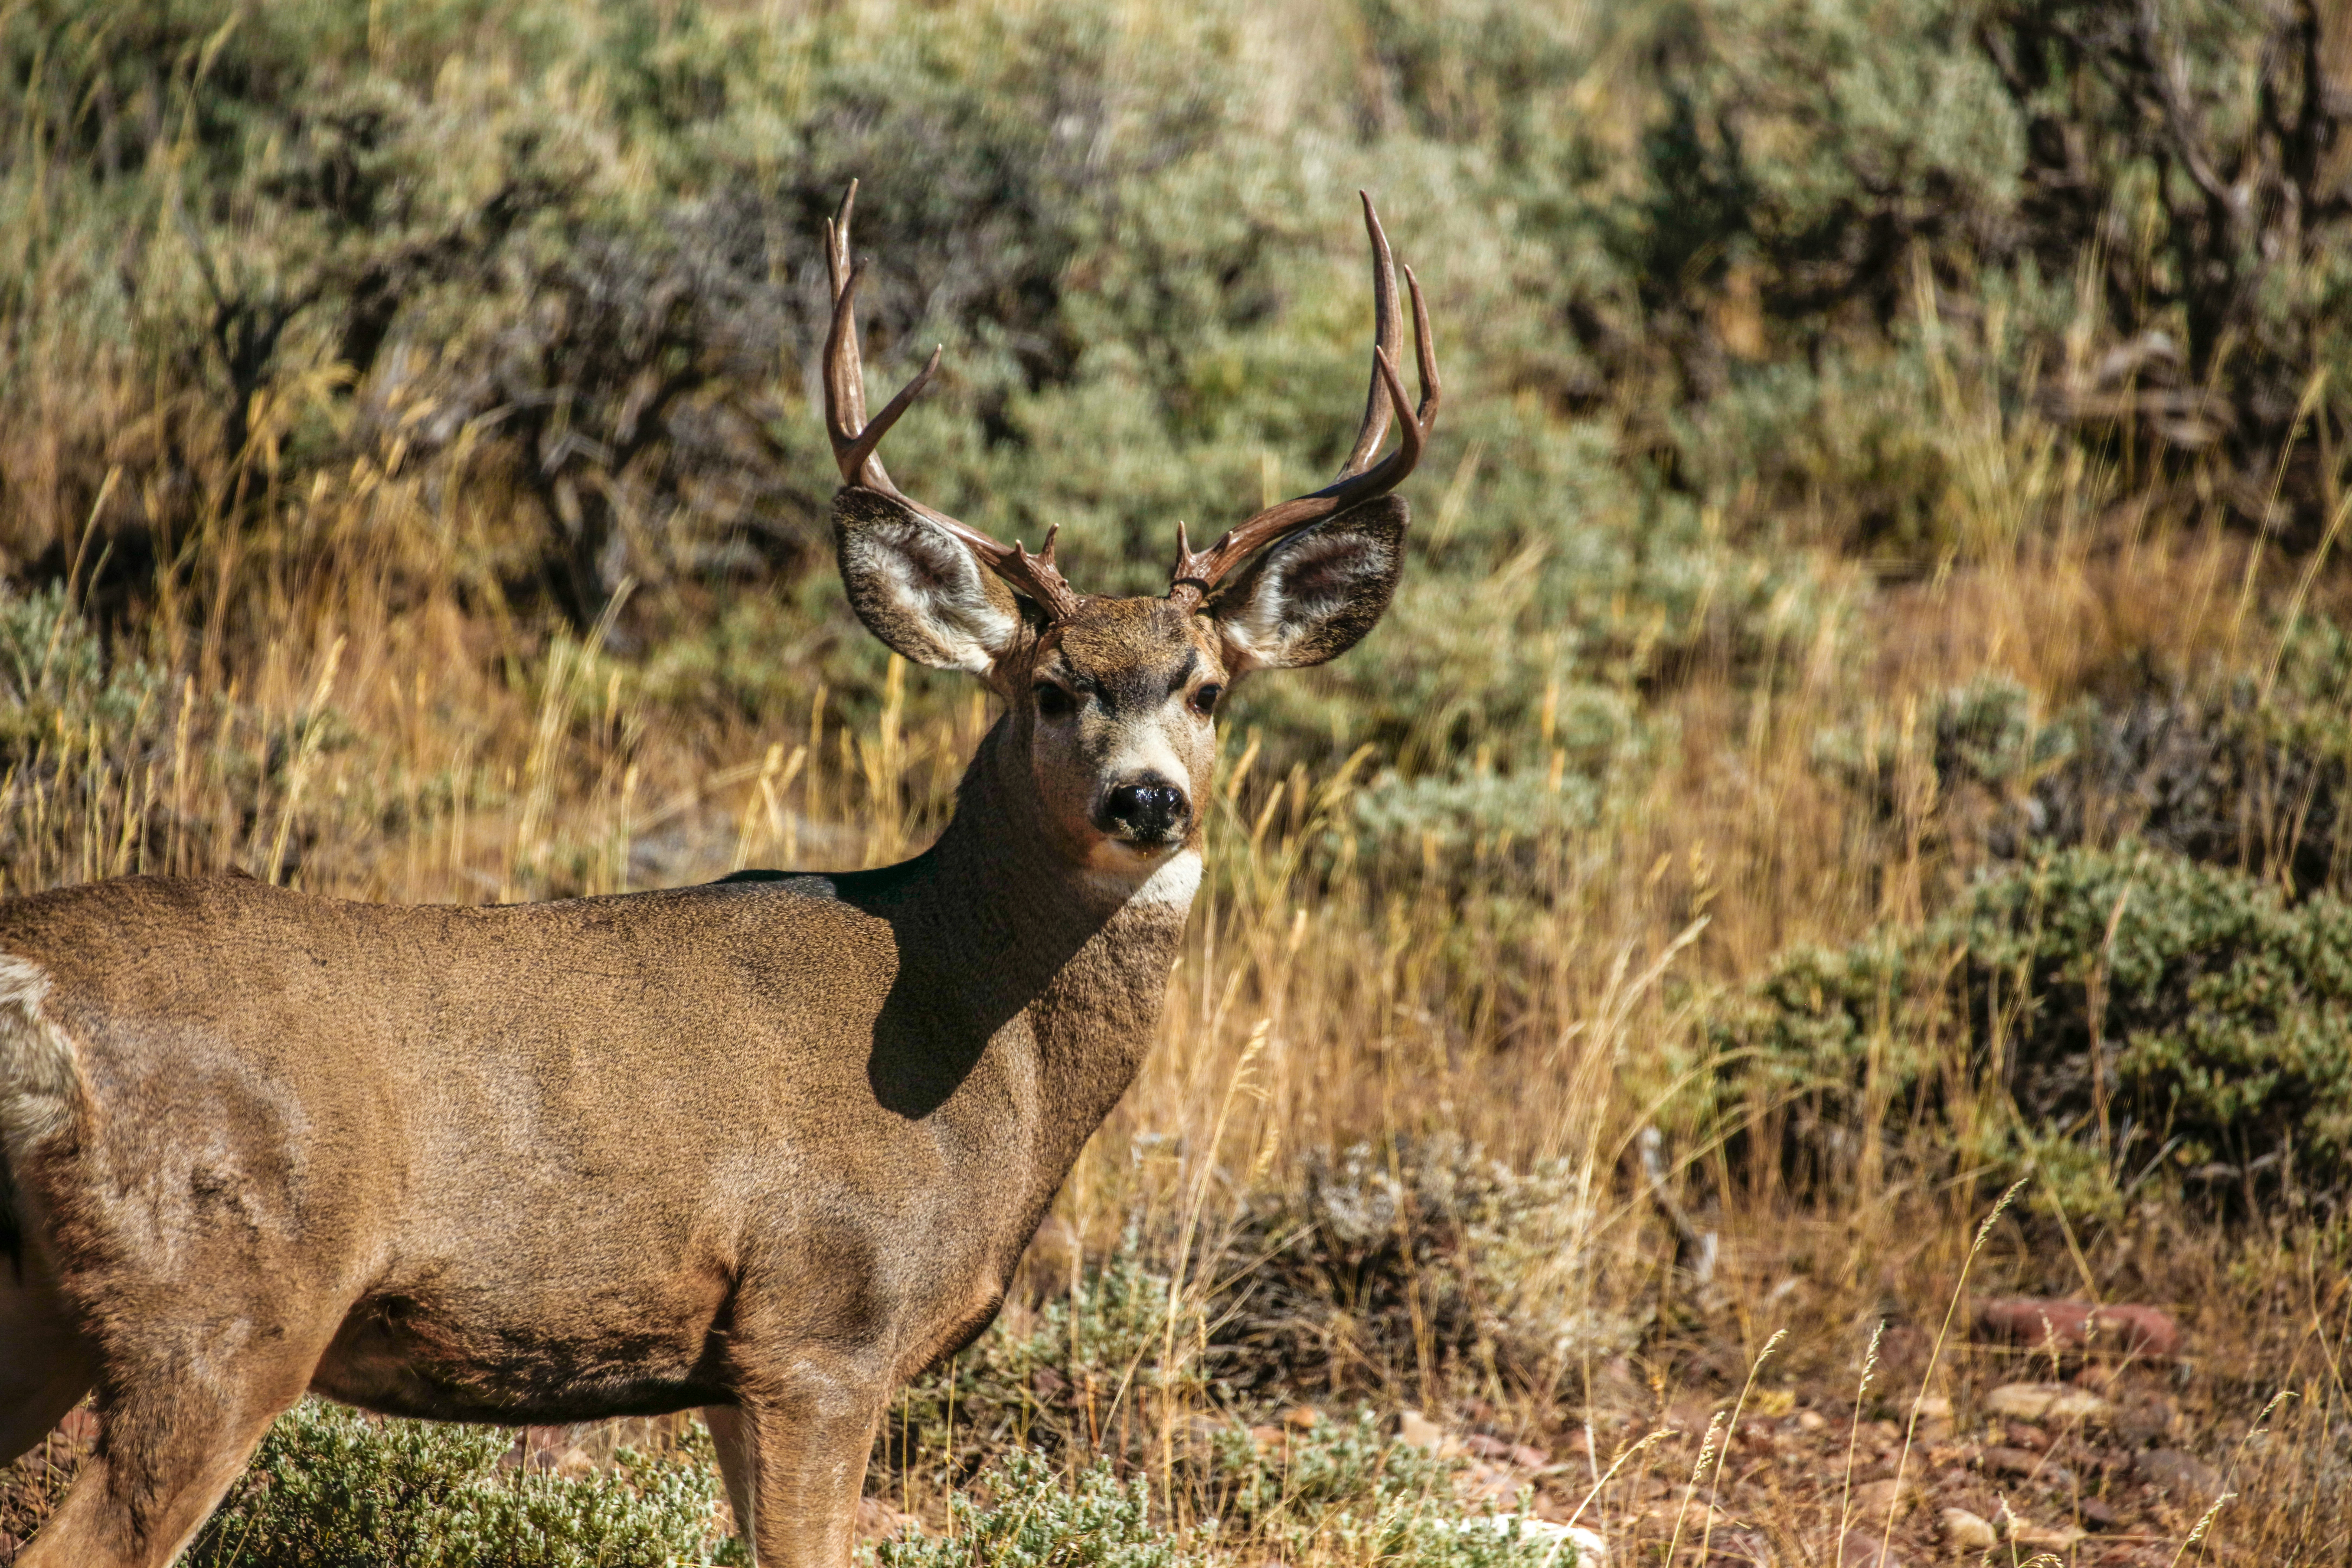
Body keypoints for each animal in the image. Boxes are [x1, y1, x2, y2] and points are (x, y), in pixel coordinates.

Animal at [0, 184, 1438, 1568]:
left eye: (1206, 688)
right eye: (1050, 688)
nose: (1147, 798)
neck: (972, 1033)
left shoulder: (738, 1367)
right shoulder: (819, 1323)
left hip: (53, 1303)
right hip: (223, 1302)